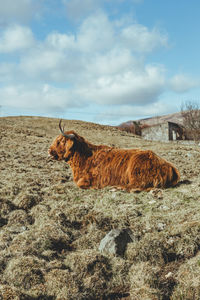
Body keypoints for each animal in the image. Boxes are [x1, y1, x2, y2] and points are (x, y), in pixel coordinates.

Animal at [48, 120, 180, 191]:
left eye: (60, 141)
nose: (49, 151)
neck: (84, 158)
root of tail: (170, 166)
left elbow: (81, 184)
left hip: (136, 171)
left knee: (136, 186)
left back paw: (117, 187)